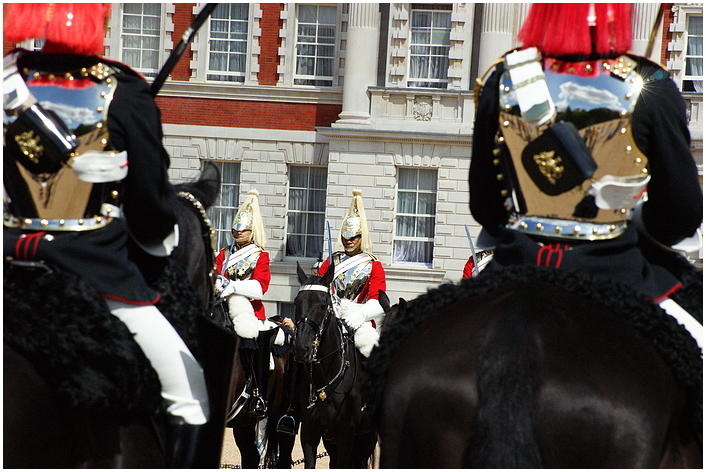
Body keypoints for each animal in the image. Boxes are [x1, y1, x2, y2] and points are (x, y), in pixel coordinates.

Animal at [292, 262, 380, 468]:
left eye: (322, 305)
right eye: (296, 303)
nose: (301, 348)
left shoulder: (346, 434)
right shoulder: (310, 432)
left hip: (367, 436)